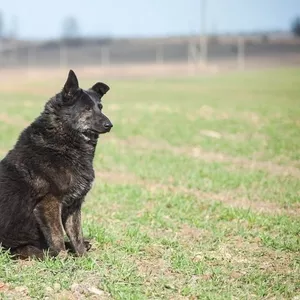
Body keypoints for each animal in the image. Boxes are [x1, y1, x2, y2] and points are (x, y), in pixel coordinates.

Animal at [0, 69, 112, 258]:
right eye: (87, 108)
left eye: (100, 107)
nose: (109, 125)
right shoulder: (49, 203)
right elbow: (57, 236)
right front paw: (64, 260)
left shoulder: (74, 205)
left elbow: (76, 235)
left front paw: (83, 258)